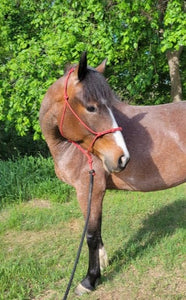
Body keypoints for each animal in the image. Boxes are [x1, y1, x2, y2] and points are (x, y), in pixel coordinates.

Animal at [39, 51, 186, 296]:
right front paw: (102, 261)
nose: (122, 157)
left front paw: (89, 280)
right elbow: (96, 230)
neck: (71, 147)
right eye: (91, 107)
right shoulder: (90, 191)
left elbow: (90, 235)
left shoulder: (90, 189)